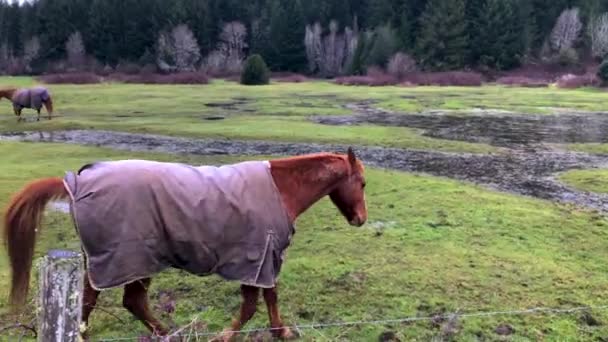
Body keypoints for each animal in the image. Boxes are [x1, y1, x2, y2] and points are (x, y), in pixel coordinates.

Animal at [3, 148, 366, 340]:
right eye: (361, 182)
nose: (361, 219)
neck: (280, 190)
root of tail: (78, 181)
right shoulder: (260, 257)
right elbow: (256, 303)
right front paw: (236, 335)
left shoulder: (259, 259)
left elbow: (262, 300)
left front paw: (277, 331)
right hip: (127, 259)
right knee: (104, 299)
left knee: (128, 301)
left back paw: (164, 333)